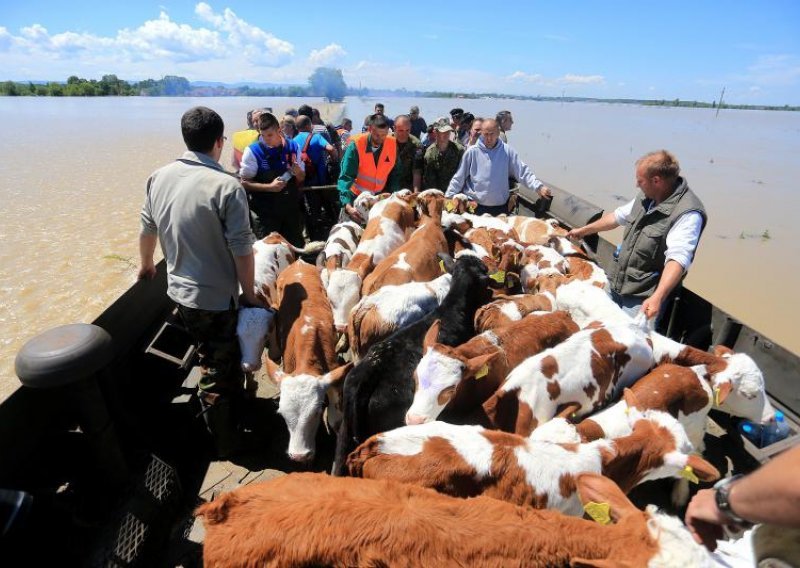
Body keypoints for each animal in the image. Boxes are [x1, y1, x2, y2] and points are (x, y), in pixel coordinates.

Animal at [268, 260, 354, 464]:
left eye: (316, 412)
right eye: (281, 414)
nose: (298, 456)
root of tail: (298, 262)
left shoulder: (333, 376)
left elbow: (336, 420)